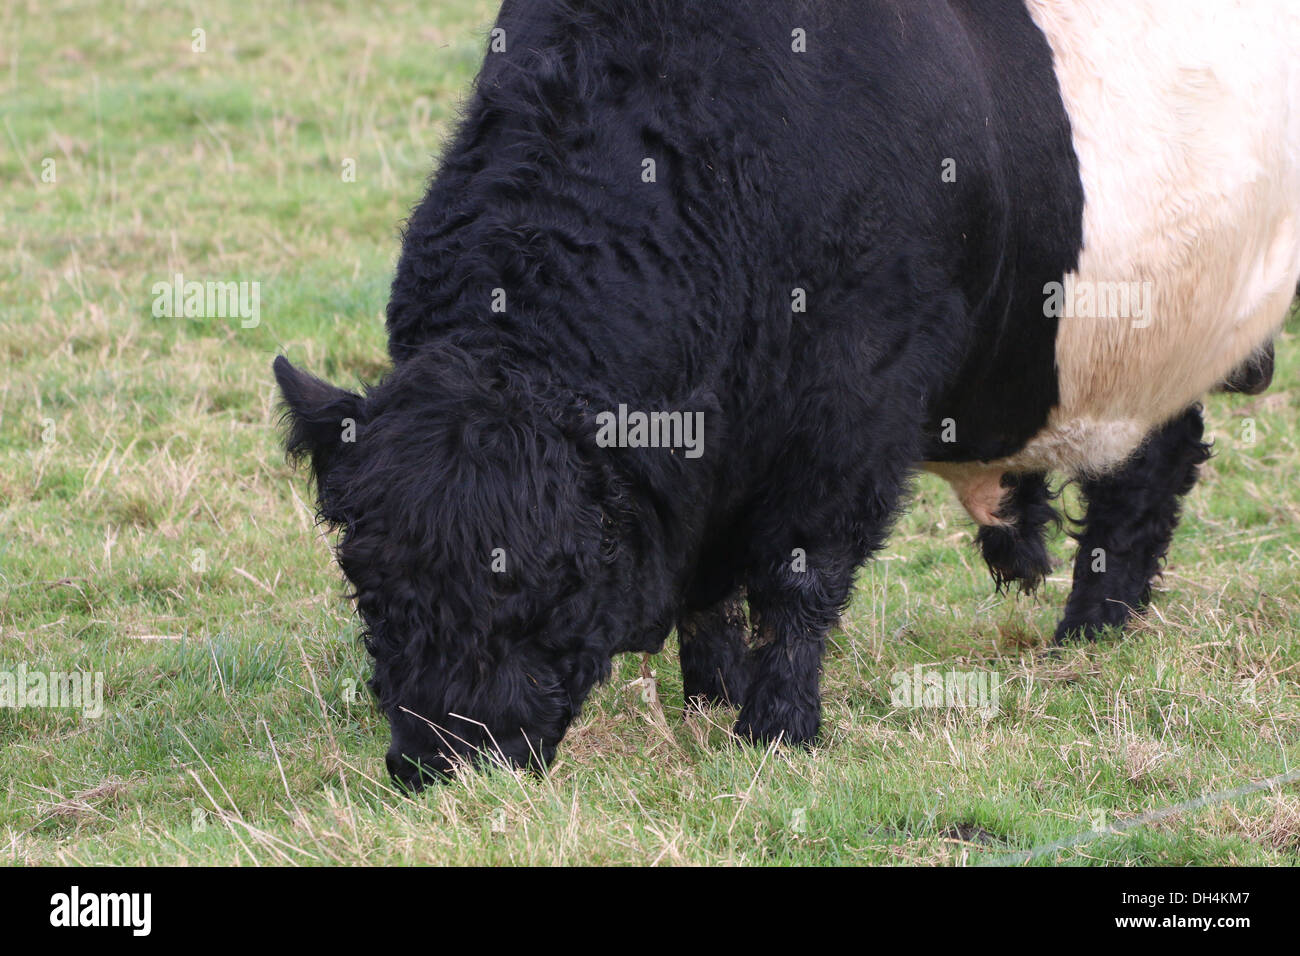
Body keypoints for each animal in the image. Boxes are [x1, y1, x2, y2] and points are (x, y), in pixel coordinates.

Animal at [274, 0, 1300, 790]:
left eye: (555, 576)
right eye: (365, 578)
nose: (446, 761)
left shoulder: (853, 410)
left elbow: (801, 572)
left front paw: (775, 727)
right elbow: (706, 587)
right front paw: (713, 694)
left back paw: (1091, 634)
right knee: (1154, 461)